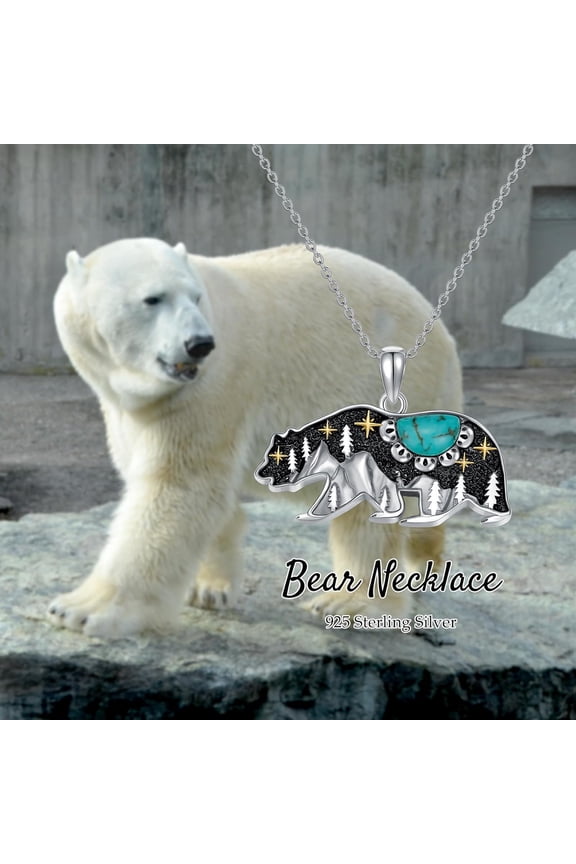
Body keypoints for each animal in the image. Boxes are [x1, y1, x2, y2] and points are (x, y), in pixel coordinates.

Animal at [48, 238, 462, 637]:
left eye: (194, 297)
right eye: (153, 298)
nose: (198, 343)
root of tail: (443, 332)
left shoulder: (209, 386)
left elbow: (177, 486)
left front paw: (81, 609)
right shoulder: (132, 406)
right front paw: (209, 588)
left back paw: (351, 603)